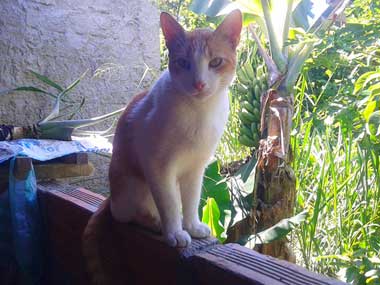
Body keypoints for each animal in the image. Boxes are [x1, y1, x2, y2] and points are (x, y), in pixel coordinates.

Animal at [84, 8, 242, 252]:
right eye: (183, 62)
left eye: (216, 62)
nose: (199, 84)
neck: (200, 113)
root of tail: (110, 199)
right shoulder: (158, 166)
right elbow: (169, 205)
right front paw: (175, 233)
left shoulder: (196, 168)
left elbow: (191, 200)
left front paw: (192, 226)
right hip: (134, 184)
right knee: (127, 215)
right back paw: (155, 222)